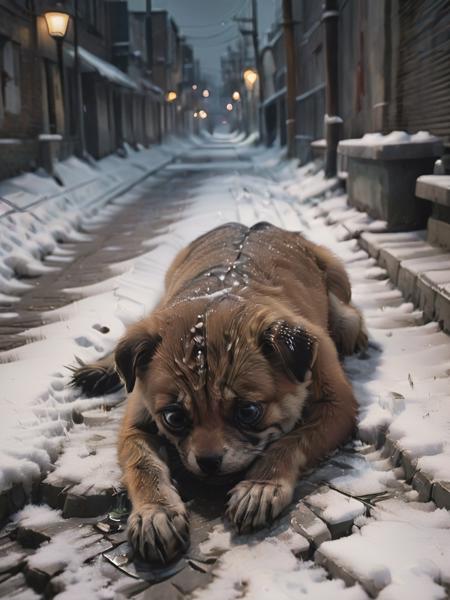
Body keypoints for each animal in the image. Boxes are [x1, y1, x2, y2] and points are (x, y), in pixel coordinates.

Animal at [70, 220, 366, 564]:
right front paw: (156, 512)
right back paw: (103, 368)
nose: (208, 460)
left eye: (249, 412)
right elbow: (142, 464)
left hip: (343, 313)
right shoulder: (137, 422)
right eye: (174, 417)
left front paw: (260, 486)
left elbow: (292, 442)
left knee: (351, 320)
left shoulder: (337, 407)